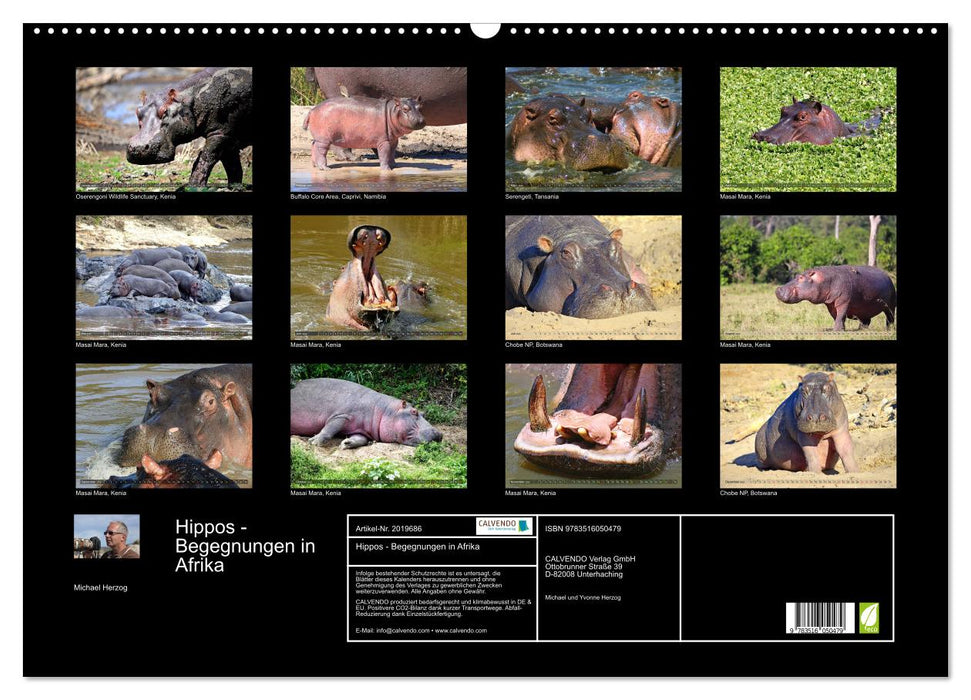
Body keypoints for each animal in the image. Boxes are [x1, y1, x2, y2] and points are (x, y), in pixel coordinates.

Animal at [290, 378, 443, 449]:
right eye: (414, 411)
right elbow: (329, 429)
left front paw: (346, 443)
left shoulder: (361, 430)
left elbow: (360, 439)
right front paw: (314, 441)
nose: (439, 434)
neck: (384, 410)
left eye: (424, 412)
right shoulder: (342, 415)